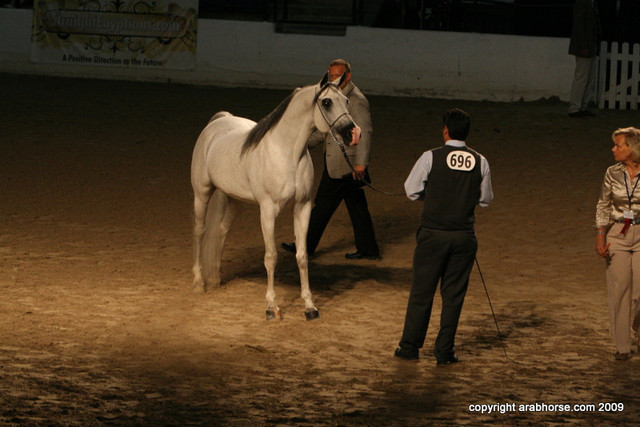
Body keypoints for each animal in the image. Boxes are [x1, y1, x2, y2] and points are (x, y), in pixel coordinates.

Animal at [190, 73, 359, 320]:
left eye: (347, 101)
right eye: (327, 102)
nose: (353, 134)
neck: (287, 153)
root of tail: (218, 122)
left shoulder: (302, 207)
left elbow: (302, 255)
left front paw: (309, 306)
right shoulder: (268, 210)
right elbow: (271, 257)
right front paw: (271, 307)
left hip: (233, 199)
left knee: (220, 231)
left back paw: (215, 279)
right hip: (201, 193)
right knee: (200, 232)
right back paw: (199, 283)